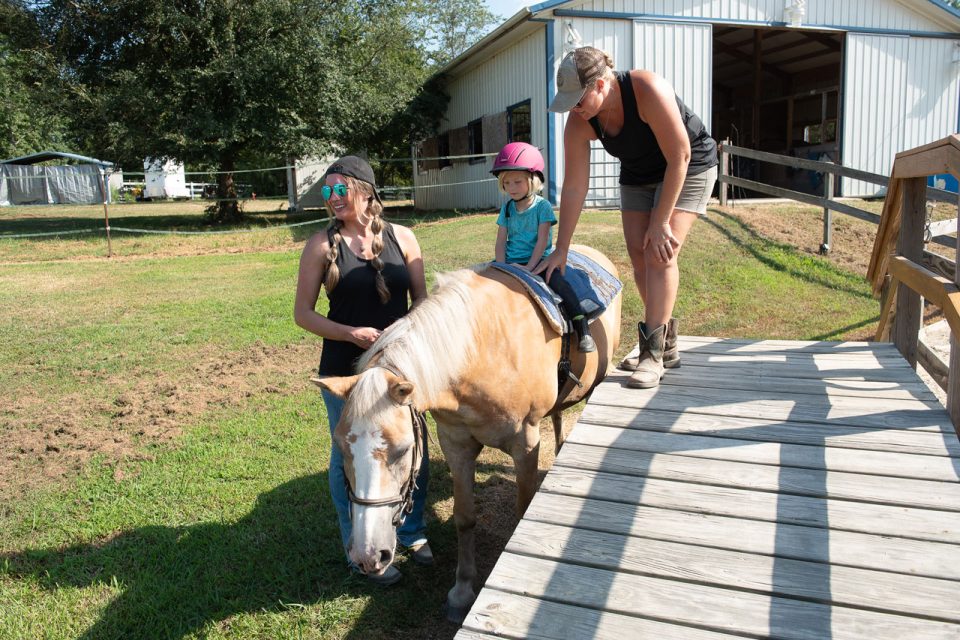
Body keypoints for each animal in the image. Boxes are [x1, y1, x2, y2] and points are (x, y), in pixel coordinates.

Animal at [316, 244, 624, 620]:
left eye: (403, 450)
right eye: (342, 449)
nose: (368, 555)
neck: (479, 354)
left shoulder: (526, 443)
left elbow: (523, 509)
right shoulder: (456, 443)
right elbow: (464, 518)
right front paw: (462, 591)